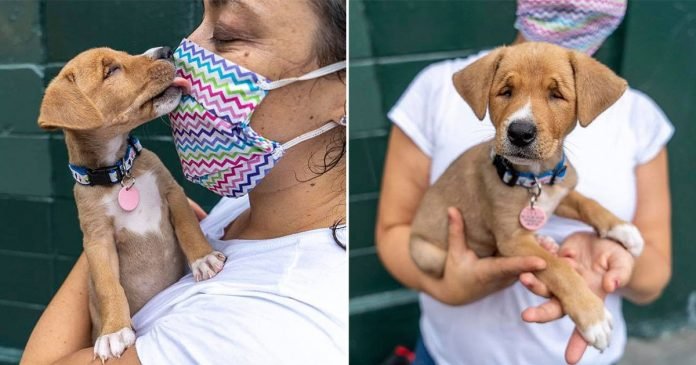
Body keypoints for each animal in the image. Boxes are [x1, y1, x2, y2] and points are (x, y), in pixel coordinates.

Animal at [37, 47, 226, 360]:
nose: (166, 51)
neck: (118, 174)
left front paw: (204, 258)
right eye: (111, 70)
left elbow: (189, 228)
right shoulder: (97, 240)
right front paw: (114, 331)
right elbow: (107, 287)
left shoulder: (172, 192)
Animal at [410, 42, 644, 350]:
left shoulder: (560, 193)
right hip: (427, 254)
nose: (520, 132)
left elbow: (587, 203)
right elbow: (559, 268)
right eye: (505, 91)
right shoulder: (512, 239)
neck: (534, 179)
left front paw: (621, 228)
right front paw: (592, 316)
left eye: (556, 94)